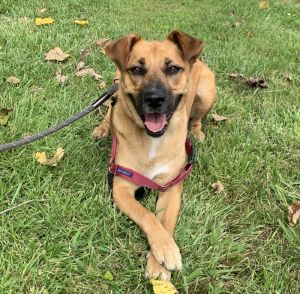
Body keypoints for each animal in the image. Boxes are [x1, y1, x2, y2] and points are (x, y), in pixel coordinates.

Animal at [92, 31, 214, 282]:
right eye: (137, 69)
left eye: (173, 68)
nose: (154, 99)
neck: (153, 140)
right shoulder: (121, 188)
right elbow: (147, 215)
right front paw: (165, 250)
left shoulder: (171, 187)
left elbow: (164, 222)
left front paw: (161, 259)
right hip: (115, 84)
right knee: (110, 106)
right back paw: (102, 128)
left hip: (207, 92)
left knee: (198, 117)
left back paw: (197, 132)